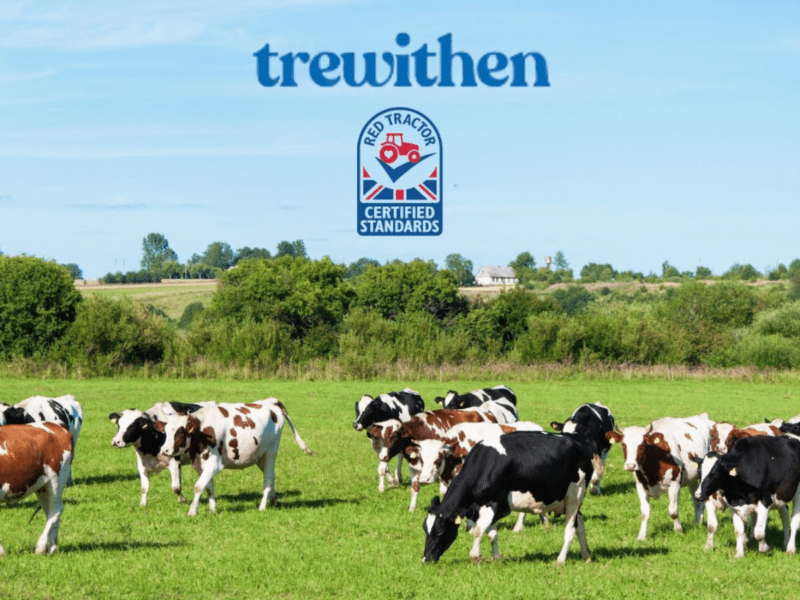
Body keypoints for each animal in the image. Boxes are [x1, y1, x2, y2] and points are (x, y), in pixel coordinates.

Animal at [0, 420, 72, 556]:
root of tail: (55, 424)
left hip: (57, 480)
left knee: (56, 510)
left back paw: (41, 546)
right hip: (43, 487)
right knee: (50, 511)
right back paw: (52, 547)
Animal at [161, 398, 314, 516]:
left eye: (180, 433)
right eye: (166, 431)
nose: (164, 450)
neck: (202, 430)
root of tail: (270, 401)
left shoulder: (214, 463)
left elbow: (199, 486)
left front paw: (192, 511)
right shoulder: (200, 464)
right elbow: (208, 486)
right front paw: (213, 509)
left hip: (271, 452)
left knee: (268, 477)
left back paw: (262, 506)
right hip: (260, 456)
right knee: (272, 475)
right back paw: (273, 500)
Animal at [422, 428, 596, 564]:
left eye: (439, 531)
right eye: (425, 529)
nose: (425, 559)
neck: (485, 464)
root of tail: (581, 440)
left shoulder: (498, 506)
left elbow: (478, 530)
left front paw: (475, 555)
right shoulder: (483, 506)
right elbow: (491, 534)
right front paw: (496, 559)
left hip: (575, 494)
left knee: (570, 529)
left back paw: (560, 561)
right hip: (566, 500)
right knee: (580, 523)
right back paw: (586, 556)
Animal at [608, 412, 712, 540]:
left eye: (642, 445)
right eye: (623, 444)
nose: (630, 465)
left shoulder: (674, 485)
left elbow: (673, 511)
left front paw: (679, 530)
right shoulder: (641, 486)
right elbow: (644, 513)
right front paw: (641, 536)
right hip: (692, 480)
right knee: (695, 500)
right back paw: (698, 522)